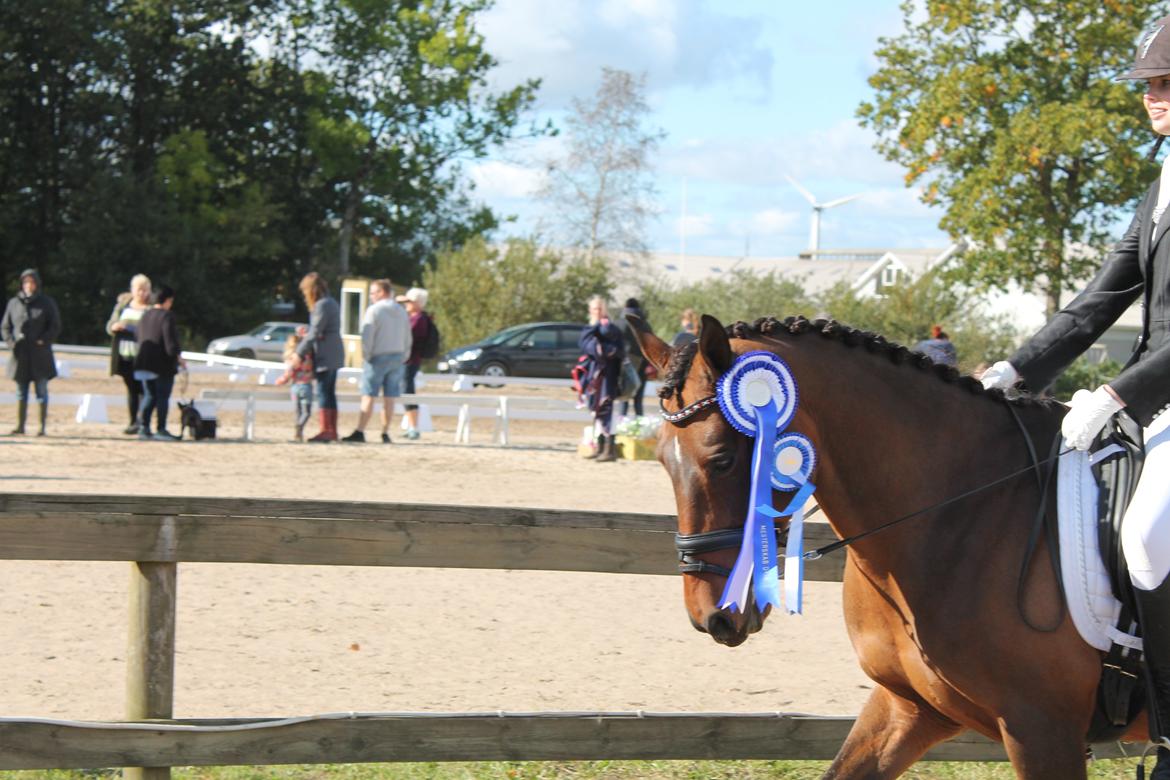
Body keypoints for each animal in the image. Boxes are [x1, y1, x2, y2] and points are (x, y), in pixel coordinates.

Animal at [631, 313, 1151, 780]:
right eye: (662, 460)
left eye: (721, 459)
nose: (711, 616)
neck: (958, 510)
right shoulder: (910, 707)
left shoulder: (1043, 731)